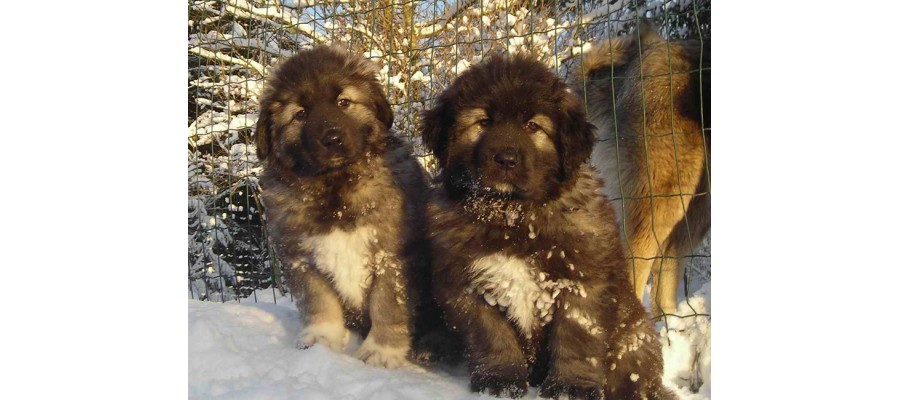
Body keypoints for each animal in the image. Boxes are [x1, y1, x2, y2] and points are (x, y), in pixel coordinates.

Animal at [253, 46, 436, 368]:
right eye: (300, 114)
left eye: (344, 102)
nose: (333, 138)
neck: (335, 188)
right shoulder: (300, 257)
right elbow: (318, 302)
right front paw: (320, 338)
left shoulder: (392, 254)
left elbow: (387, 304)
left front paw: (381, 351)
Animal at [422, 55, 676, 400]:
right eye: (483, 122)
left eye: (533, 126)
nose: (506, 159)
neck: (513, 215)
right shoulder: (468, 286)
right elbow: (492, 337)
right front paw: (500, 381)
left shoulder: (580, 281)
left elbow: (576, 340)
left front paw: (570, 387)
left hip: (634, 337)